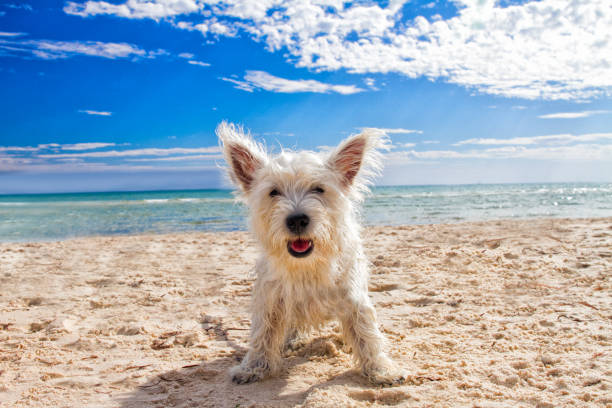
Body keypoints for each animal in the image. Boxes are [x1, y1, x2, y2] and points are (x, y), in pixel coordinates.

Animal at [216, 122, 406, 386]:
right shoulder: (271, 297)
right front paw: (253, 367)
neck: (307, 267)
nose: (297, 219)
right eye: (274, 192)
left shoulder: (353, 297)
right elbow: (263, 332)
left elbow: (366, 332)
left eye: (318, 189)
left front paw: (381, 369)